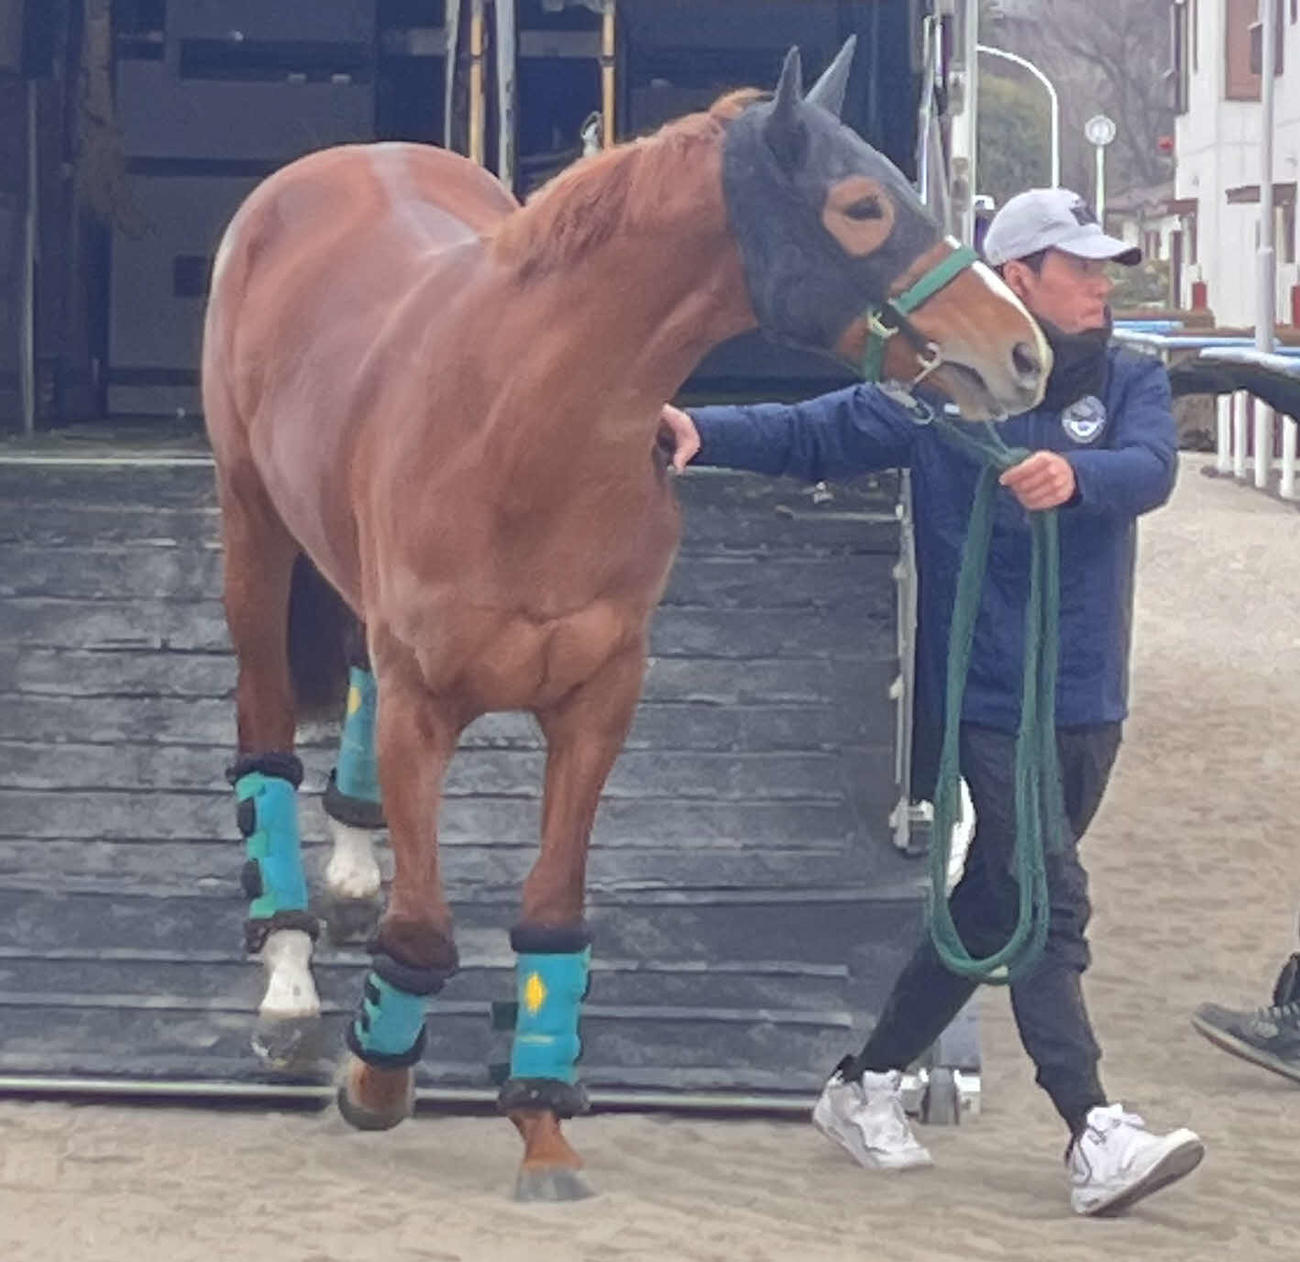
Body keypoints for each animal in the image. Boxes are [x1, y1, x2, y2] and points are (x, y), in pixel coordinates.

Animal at [201, 39, 1049, 1201]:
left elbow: (553, 913)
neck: (519, 429)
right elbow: (426, 922)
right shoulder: (428, 704)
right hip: (254, 532)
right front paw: (376, 1074)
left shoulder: (599, 700)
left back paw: (348, 875)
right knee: (265, 741)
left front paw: (543, 1124)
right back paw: (288, 974)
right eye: (863, 205)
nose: (1025, 354)